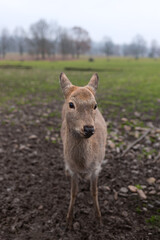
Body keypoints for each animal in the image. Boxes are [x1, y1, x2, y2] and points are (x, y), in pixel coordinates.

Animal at [59, 72, 107, 227]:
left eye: (95, 105)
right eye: (71, 104)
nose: (89, 128)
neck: (83, 164)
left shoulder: (96, 167)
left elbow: (94, 192)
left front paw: (99, 219)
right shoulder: (74, 170)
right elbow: (73, 192)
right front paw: (69, 220)